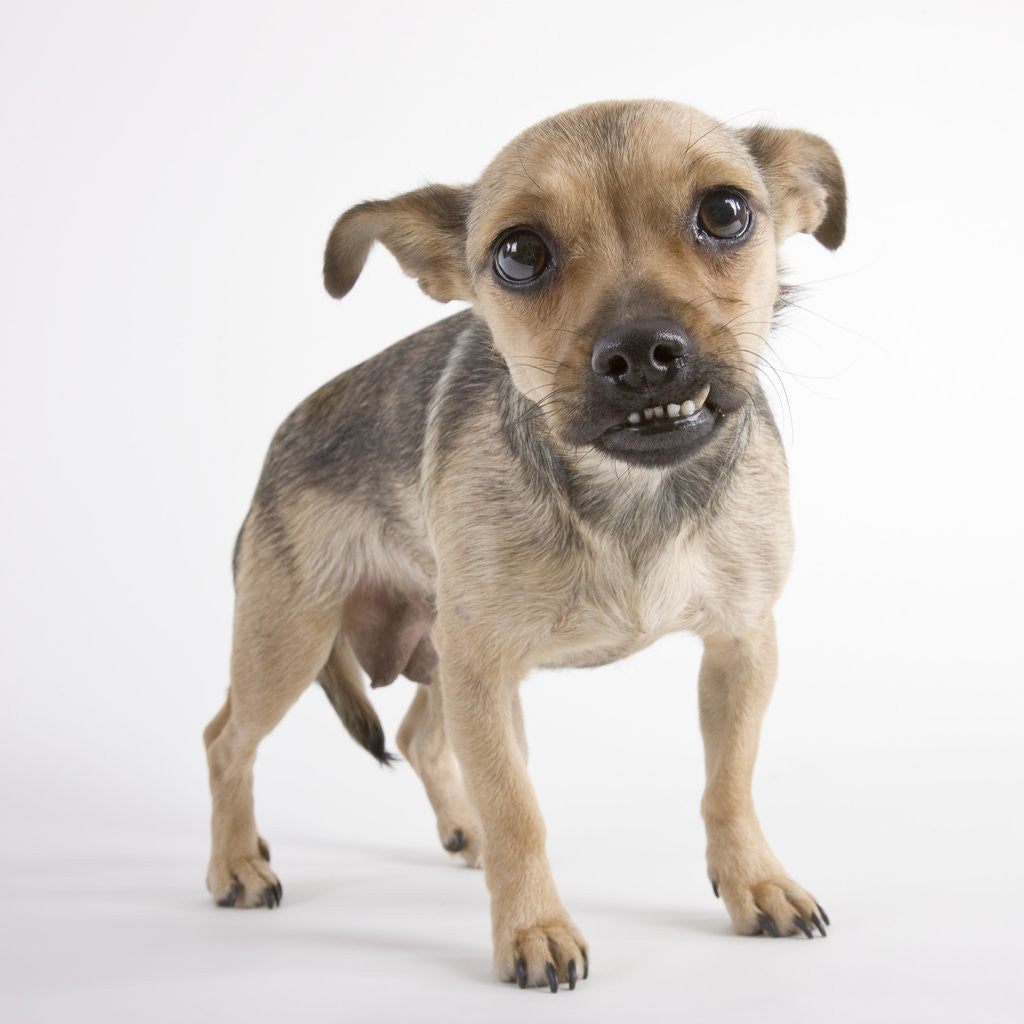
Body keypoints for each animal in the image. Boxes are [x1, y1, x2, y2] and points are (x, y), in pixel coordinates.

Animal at [203, 101, 843, 991]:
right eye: (519, 254)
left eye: (724, 212)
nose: (642, 352)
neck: (629, 493)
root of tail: (281, 440)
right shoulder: (485, 667)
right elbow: (519, 810)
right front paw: (535, 929)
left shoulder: (741, 645)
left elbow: (729, 783)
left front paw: (756, 882)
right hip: (290, 644)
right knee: (225, 740)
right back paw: (235, 864)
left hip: (438, 649)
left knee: (414, 735)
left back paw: (458, 830)